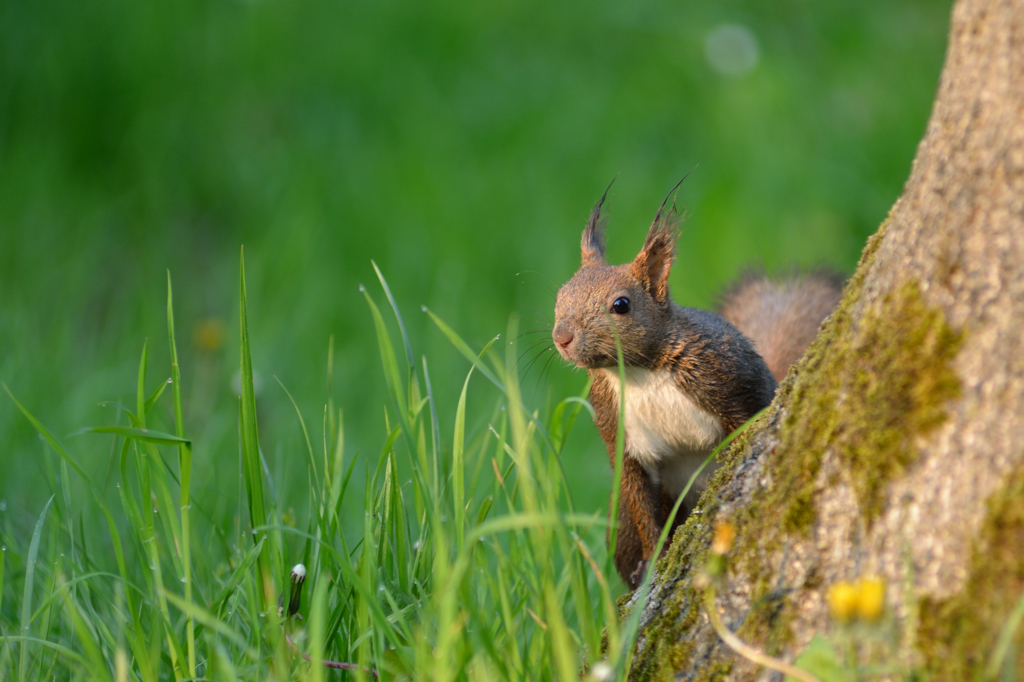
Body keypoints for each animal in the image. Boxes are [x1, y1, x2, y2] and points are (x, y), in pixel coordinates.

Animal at [557, 189, 843, 585]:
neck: (640, 374)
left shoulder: (727, 377)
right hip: (626, 524)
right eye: (560, 295)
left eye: (621, 304)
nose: (561, 337)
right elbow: (639, 496)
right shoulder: (616, 425)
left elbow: (748, 423)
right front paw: (653, 560)